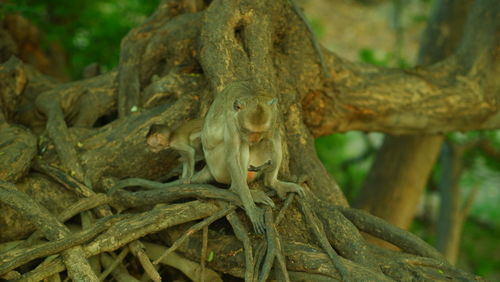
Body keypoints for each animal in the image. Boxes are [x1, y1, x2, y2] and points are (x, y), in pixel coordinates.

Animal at [200, 82, 304, 234]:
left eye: (259, 132)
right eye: (248, 131)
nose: (254, 139)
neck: (252, 96)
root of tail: (208, 167)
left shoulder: (273, 115)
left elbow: (273, 135)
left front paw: (271, 170)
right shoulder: (232, 122)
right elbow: (232, 157)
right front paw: (252, 211)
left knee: (271, 139)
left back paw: (271, 182)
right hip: (217, 167)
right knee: (241, 147)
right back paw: (237, 190)